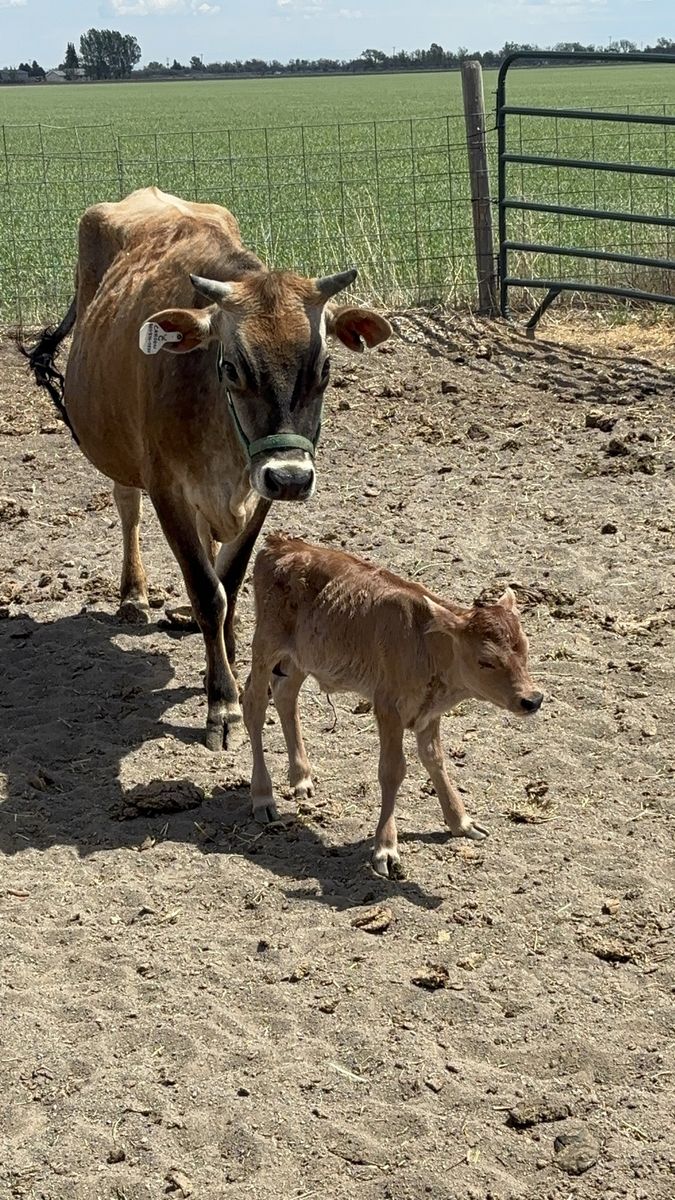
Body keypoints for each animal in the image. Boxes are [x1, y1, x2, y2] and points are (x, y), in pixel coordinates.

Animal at [22, 187, 392, 751]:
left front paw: (232, 662)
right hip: (118, 447)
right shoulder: (167, 488)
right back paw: (134, 594)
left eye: (325, 369)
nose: (291, 478)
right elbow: (205, 589)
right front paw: (223, 702)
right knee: (127, 506)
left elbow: (230, 581)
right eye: (232, 366)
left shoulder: (258, 492)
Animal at [243, 536, 544, 878]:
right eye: (486, 661)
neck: (425, 641)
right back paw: (263, 798)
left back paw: (301, 779)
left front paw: (463, 823)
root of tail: (279, 544)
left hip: (301, 659)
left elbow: (434, 759)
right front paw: (386, 850)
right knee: (253, 704)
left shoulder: (429, 712)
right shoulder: (387, 706)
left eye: (525, 648)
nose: (532, 699)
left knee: (285, 696)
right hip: (265, 647)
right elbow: (392, 770)